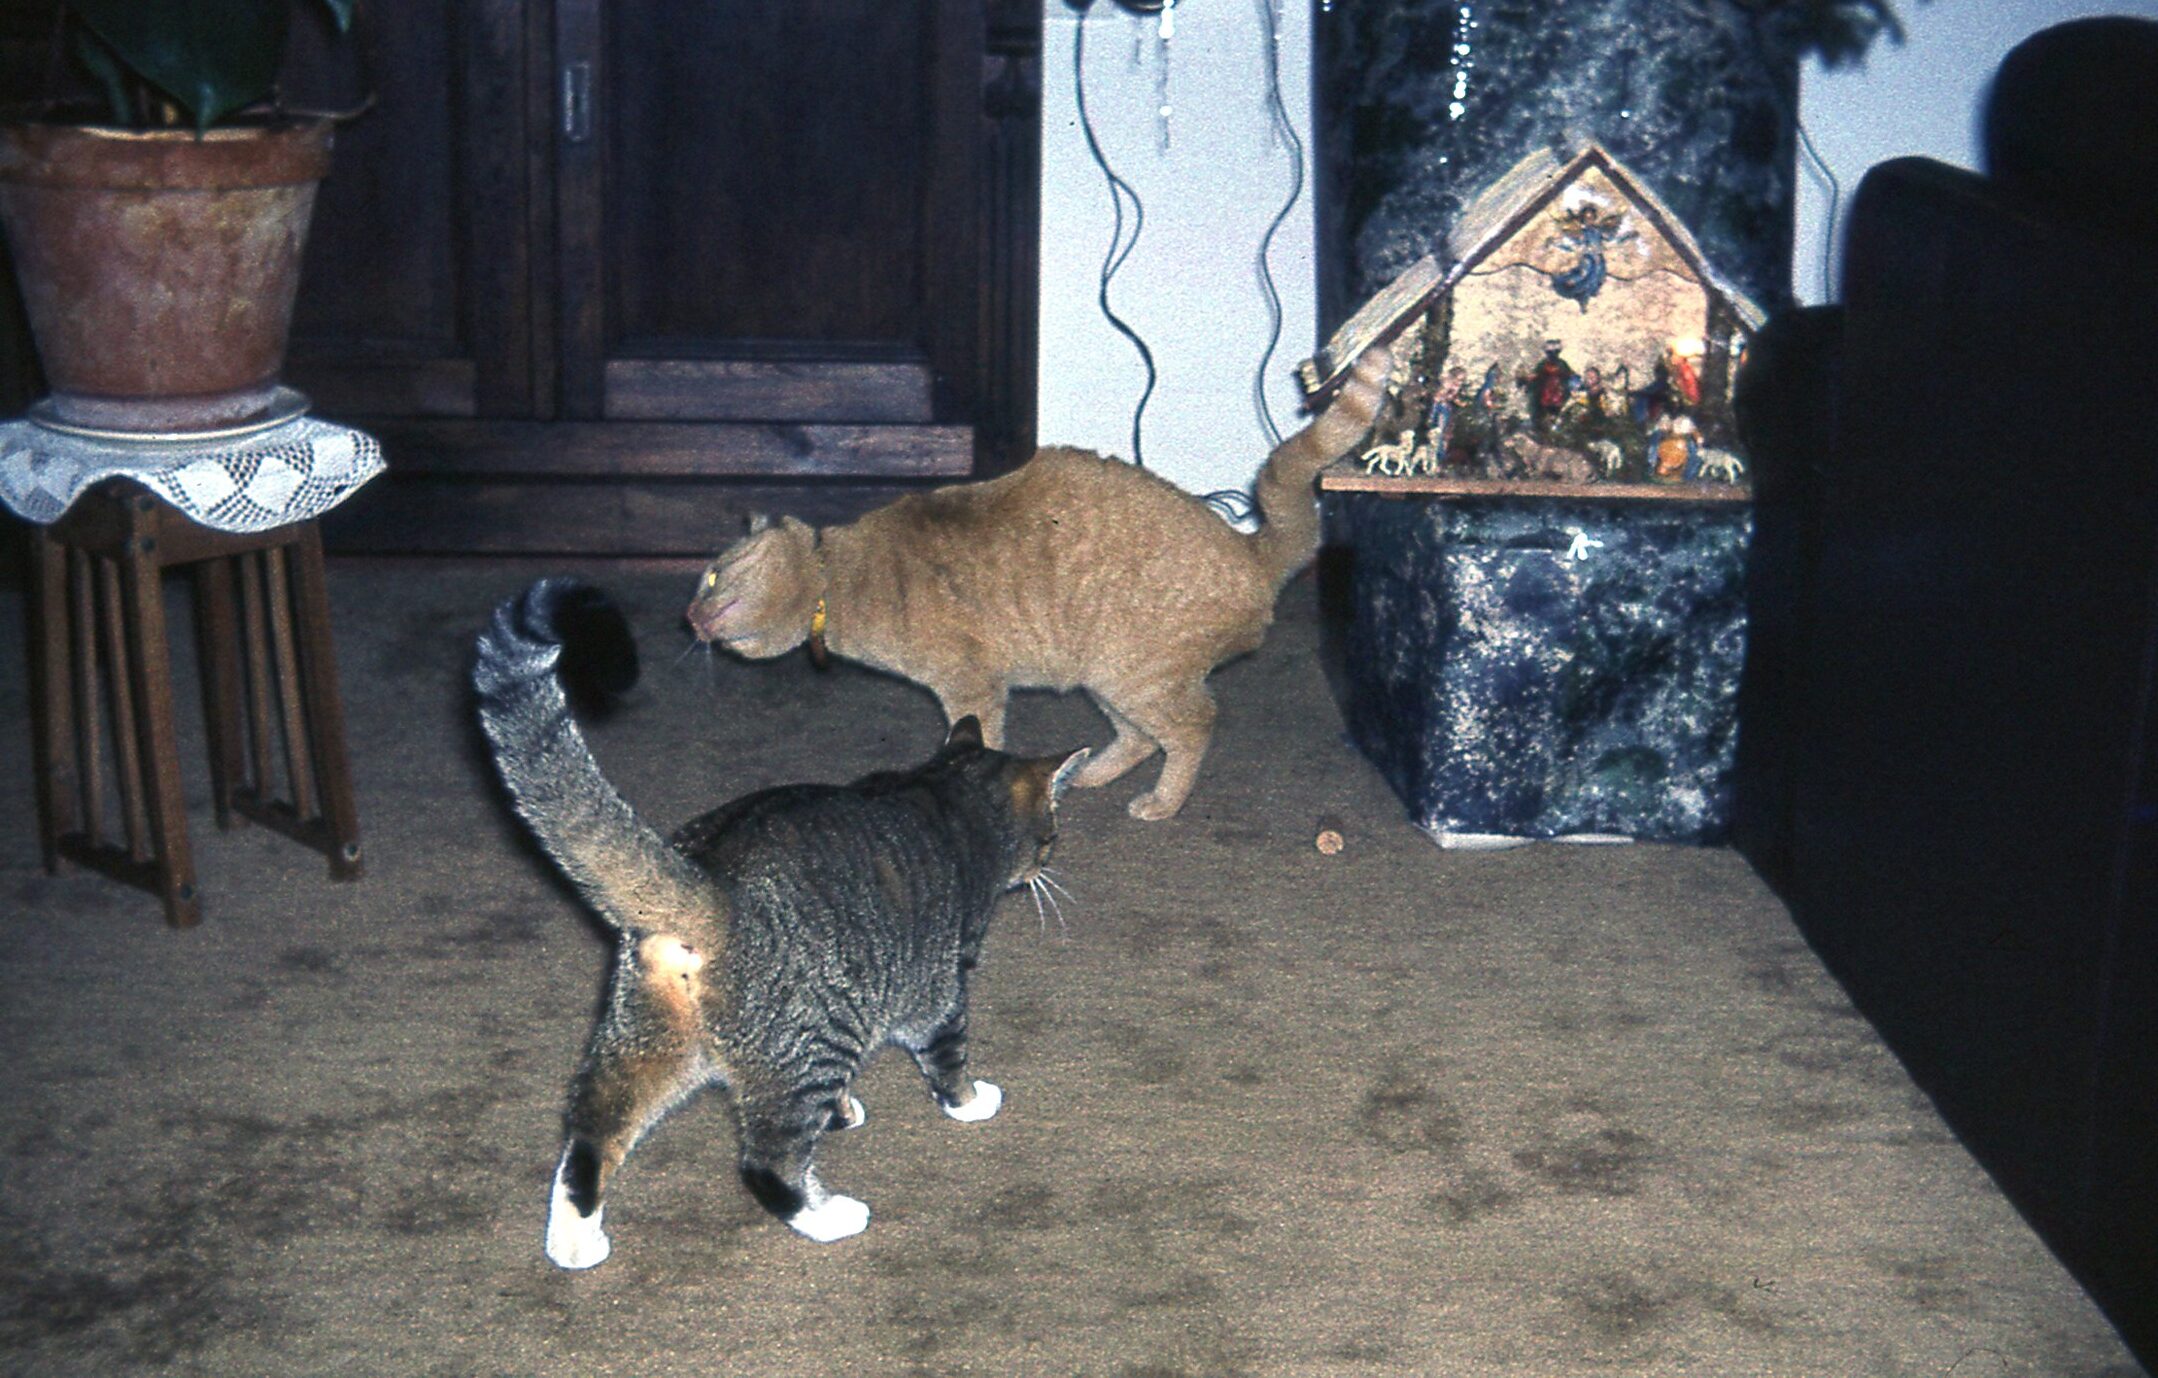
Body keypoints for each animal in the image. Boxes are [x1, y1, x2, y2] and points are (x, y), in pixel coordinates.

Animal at [473, 577, 1088, 1268]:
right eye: (1051, 837)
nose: (1044, 866)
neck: (946, 795)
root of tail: (711, 887)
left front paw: (845, 1110)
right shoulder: (940, 983)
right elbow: (947, 1053)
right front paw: (969, 1101)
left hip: (648, 1038)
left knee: (593, 1128)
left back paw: (574, 1239)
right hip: (811, 1038)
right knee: (766, 1161)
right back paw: (829, 1215)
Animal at [684, 345, 1392, 821]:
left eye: (712, 576)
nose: (689, 617)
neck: (838, 577)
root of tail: (1249, 548)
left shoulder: (971, 685)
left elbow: (976, 737)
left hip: (1136, 676)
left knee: (1194, 726)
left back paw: (1161, 802)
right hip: (1105, 678)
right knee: (1140, 736)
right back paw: (1092, 776)